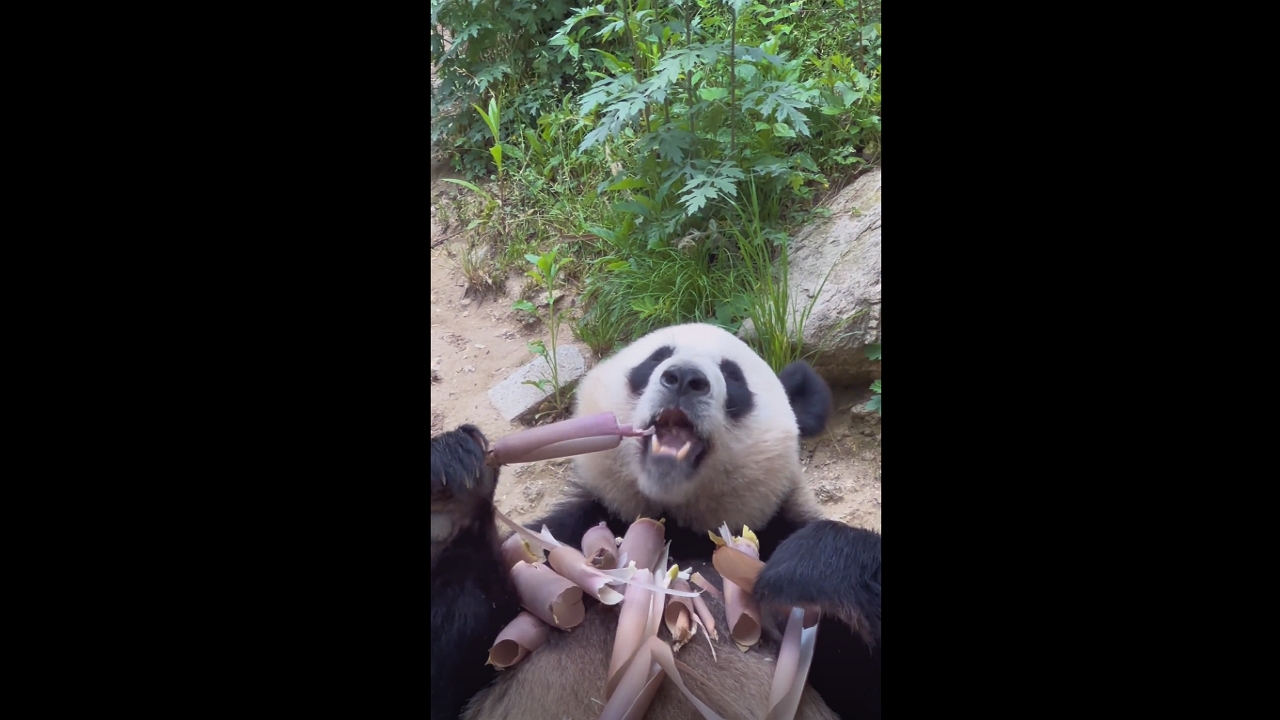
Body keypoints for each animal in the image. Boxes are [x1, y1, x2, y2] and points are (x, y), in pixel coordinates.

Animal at [431, 323, 881, 720]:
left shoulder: (780, 559)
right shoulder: (565, 537)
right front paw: (453, 486)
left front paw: (810, 562)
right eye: (655, 359)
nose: (684, 378)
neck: (673, 527)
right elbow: (454, 666)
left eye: (733, 376)